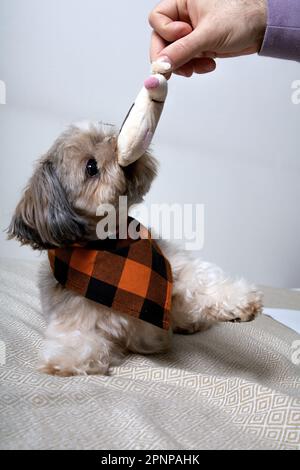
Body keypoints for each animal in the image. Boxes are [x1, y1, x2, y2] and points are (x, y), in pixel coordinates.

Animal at [8, 122, 262, 378]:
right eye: (91, 167)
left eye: (109, 132)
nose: (117, 143)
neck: (114, 248)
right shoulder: (76, 318)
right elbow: (79, 344)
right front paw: (61, 362)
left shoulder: (174, 270)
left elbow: (201, 282)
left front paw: (240, 301)